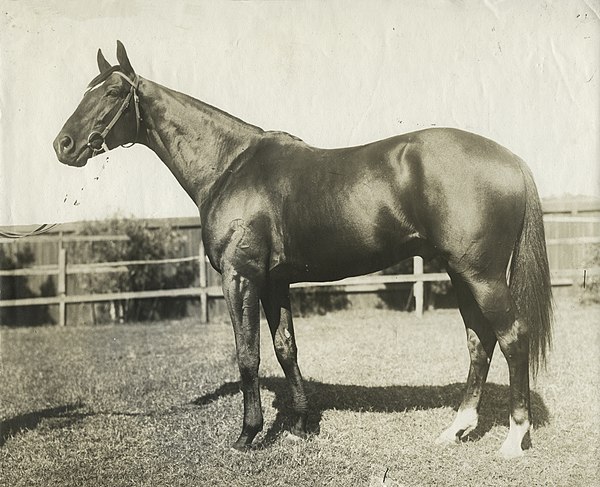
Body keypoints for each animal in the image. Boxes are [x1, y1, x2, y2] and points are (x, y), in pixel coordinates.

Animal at [54, 41, 552, 458]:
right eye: (86, 90)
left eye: (113, 91)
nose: (63, 145)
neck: (230, 166)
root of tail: (512, 160)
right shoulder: (274, 282)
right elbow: (285, 348)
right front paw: (300, 425)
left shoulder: (240, 277)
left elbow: (248, 354)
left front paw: (248, 435)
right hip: (459, 273)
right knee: (479, 341)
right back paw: (457, 428)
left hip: (481, 275)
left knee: (512, 337)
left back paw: (513, 439)